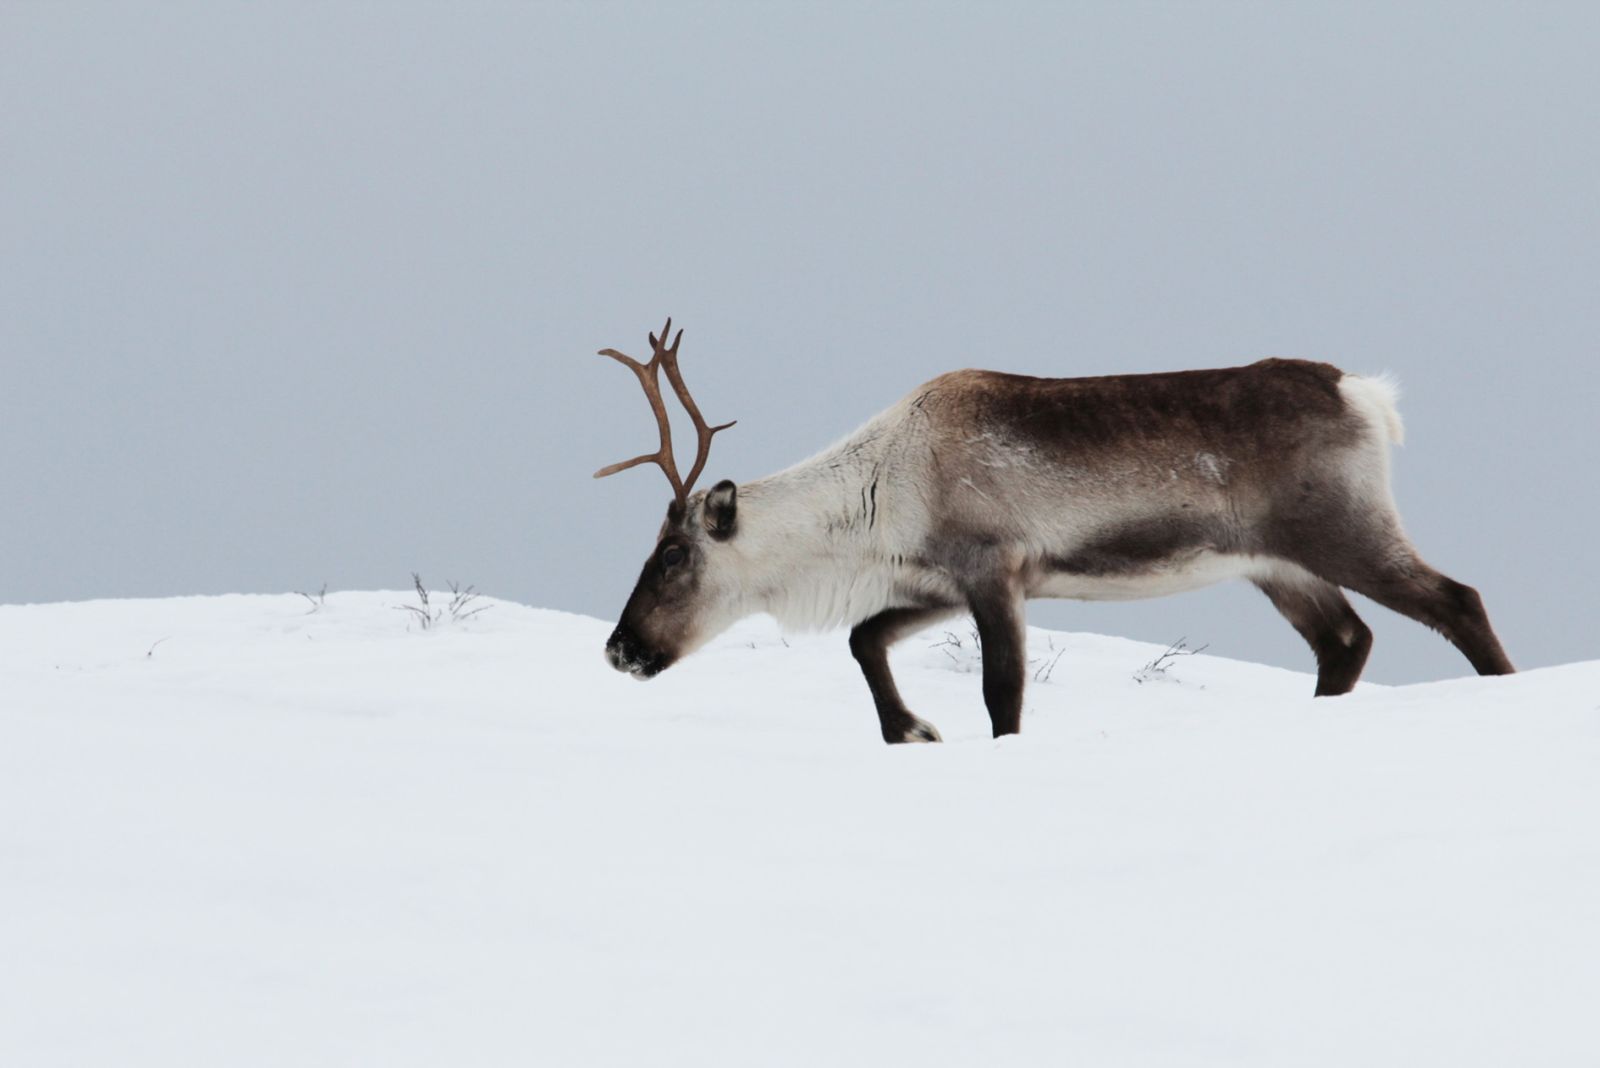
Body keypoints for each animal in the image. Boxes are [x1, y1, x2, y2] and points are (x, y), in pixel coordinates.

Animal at [594, 319, 1514, 744]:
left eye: (672, 554)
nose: (617, 649)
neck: (877, 495)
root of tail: (1365, 393)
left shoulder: (994, 571)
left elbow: (1003, 693)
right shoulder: (939, 583)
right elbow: (863, 638)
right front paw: (913, 730)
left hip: (1341, 528)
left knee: (1457, 599)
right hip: (1276, 565)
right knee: (1345, 641)